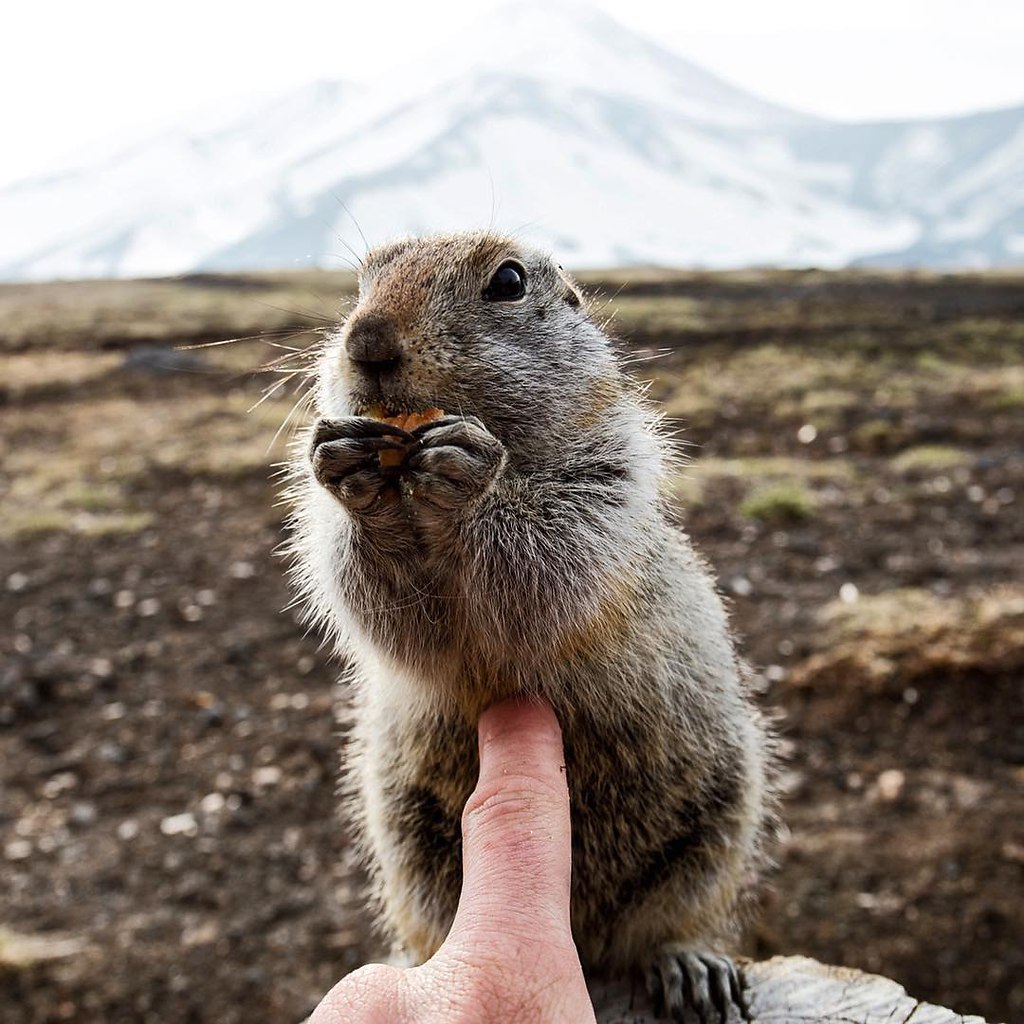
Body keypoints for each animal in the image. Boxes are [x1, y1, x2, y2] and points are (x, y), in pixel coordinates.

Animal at [288, 232, 774, 1024]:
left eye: (509, 281)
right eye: (360, 282)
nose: (366, 341)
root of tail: (587, 940)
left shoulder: (608, 484)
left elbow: (555, 556)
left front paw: (470, 475)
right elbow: (384, 606)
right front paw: (351, 476)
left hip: (716, 831)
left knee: (668, 924)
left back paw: (691, 968)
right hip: (411, 849)